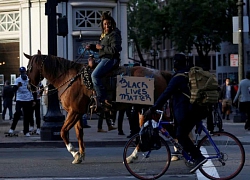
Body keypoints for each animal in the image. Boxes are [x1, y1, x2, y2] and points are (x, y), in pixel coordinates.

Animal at [23, 50, 172, 164]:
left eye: (29, 68)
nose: (29, 87)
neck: (69, 78)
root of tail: (159, 73)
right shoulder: (78, 112)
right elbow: (79, 133)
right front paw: (80, 155)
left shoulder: (74, 112)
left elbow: (63, 132)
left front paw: (74, 152)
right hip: (145, 110)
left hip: (152, 110)